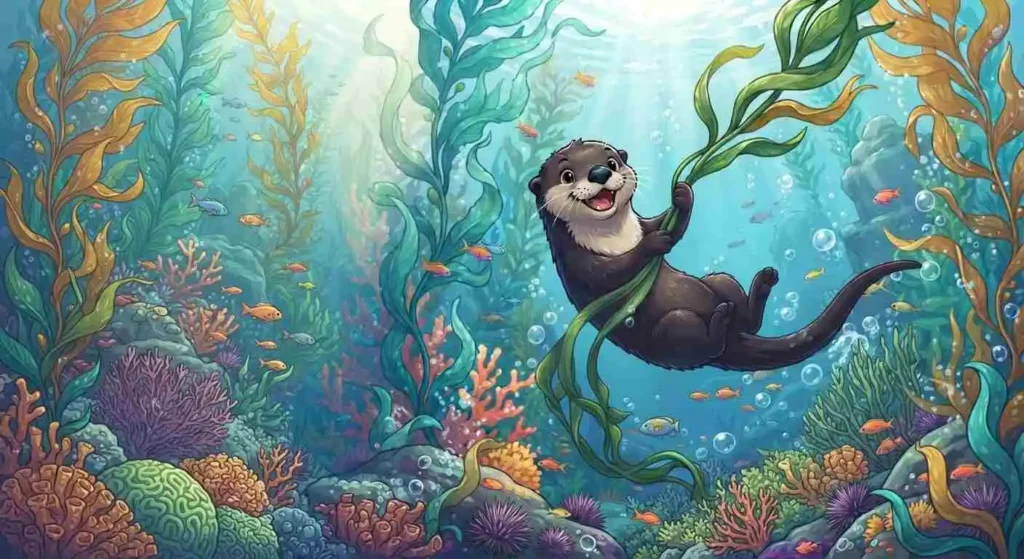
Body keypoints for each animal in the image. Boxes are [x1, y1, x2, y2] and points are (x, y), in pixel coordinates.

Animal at [529, 139, 921, 371]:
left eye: (610, 161)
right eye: (567, 175)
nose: (598, 173)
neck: (615, 237)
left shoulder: (640, 223)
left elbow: (665, 221)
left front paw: (682, 195)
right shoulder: (578, 263)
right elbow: (614, 272)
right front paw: (654, 244)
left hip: (720, 280)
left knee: (742, 312)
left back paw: (760, 284)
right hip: (675, 328)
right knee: (704, 349)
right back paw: (720, 319)